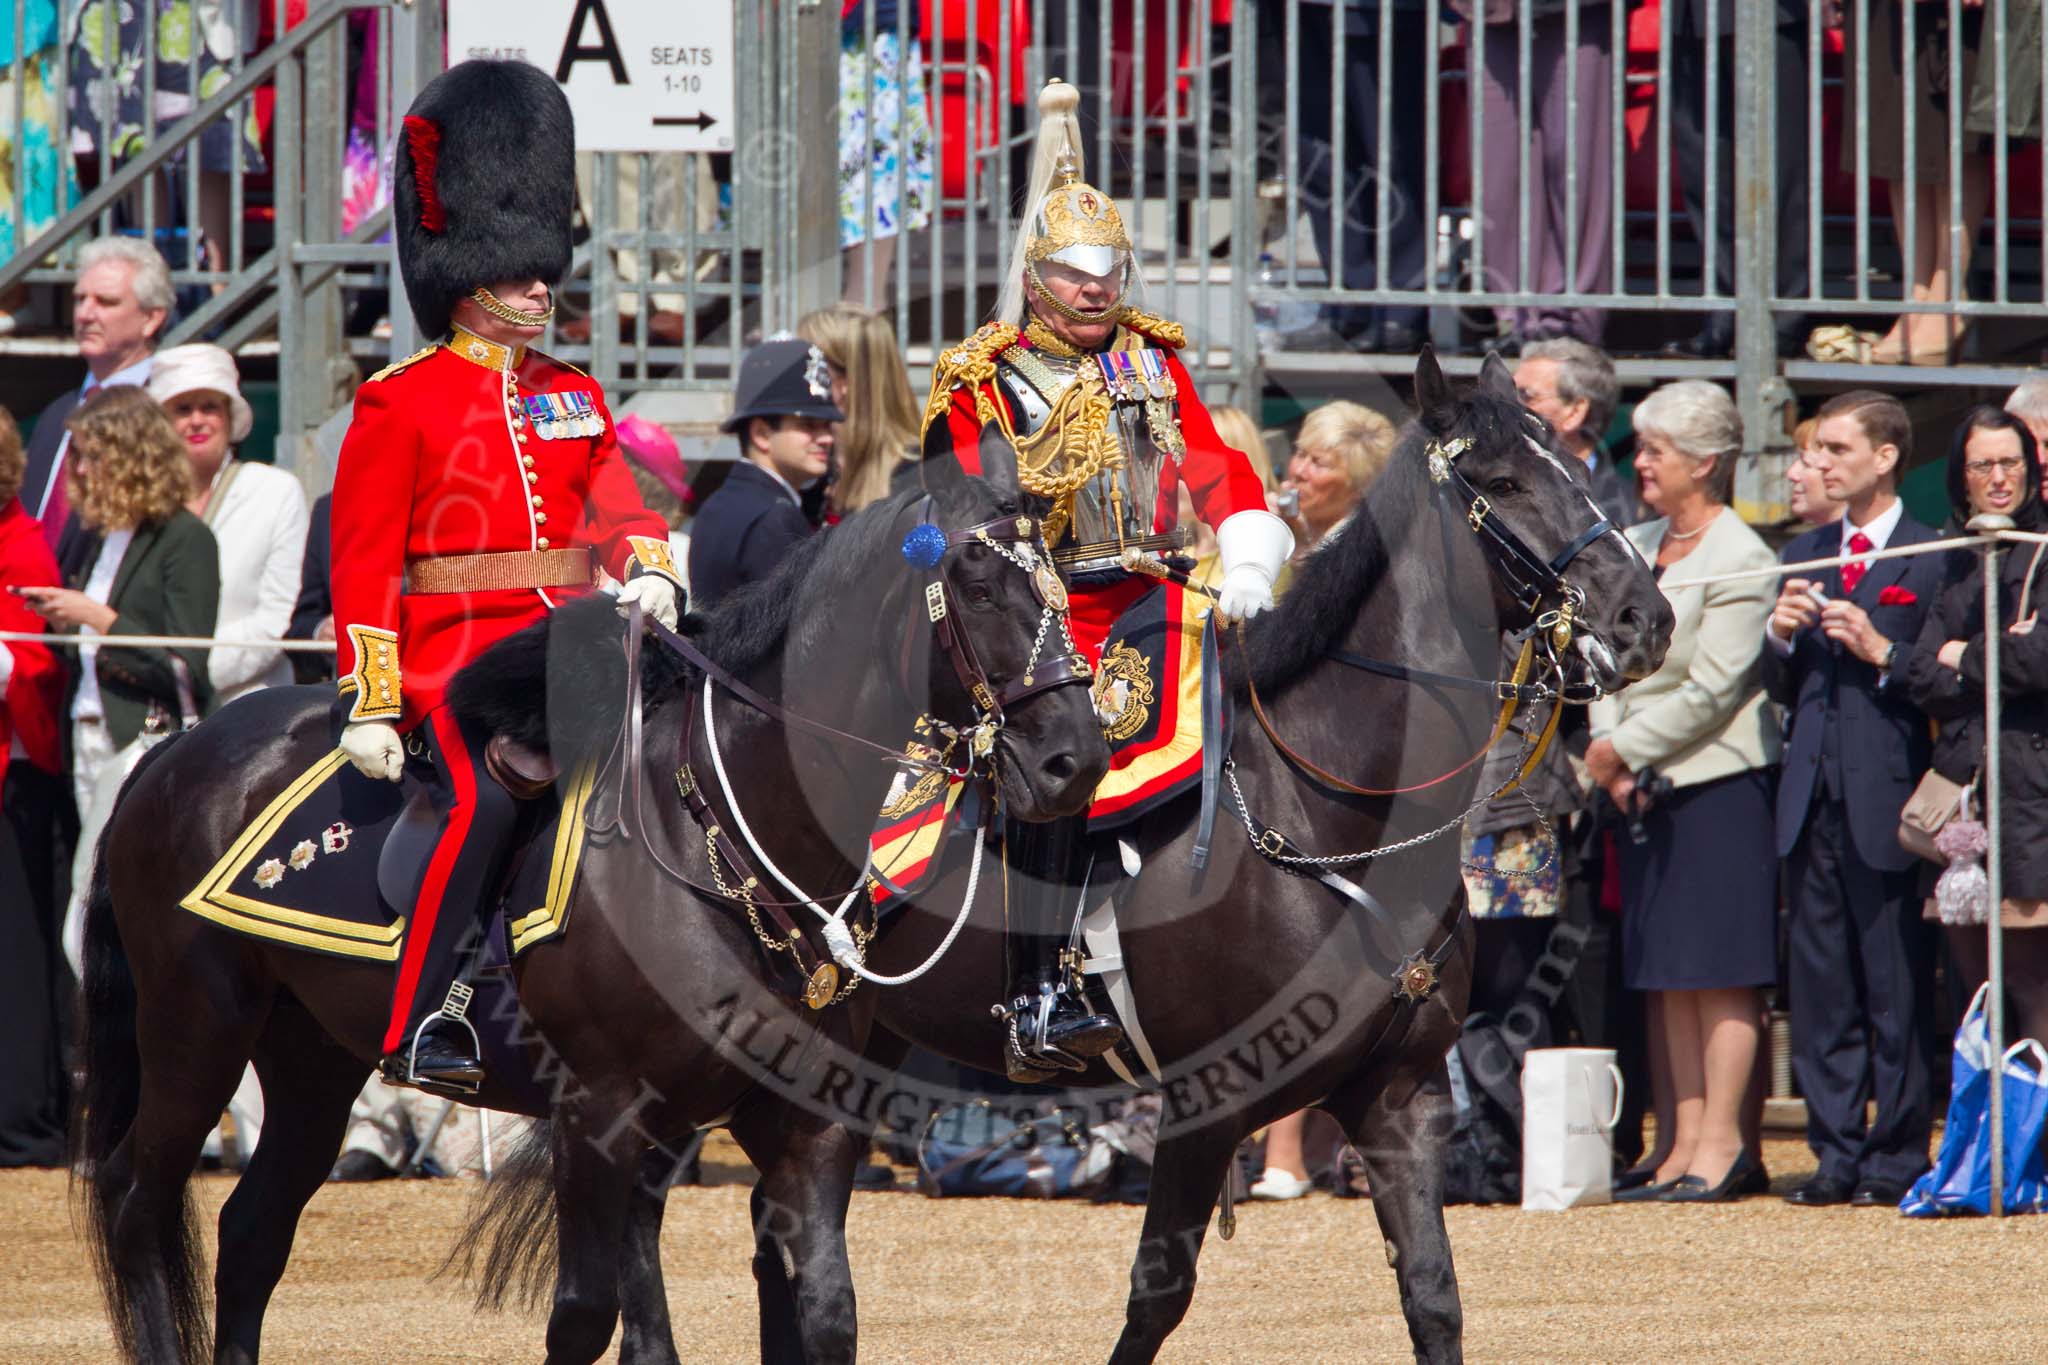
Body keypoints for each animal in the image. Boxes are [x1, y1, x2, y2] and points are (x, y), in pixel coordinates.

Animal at [75, 454, 1105, 1358]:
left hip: (313, 1056)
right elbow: (585, 1315)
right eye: (979, 590)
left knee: (253, 1233)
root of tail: (177, 750)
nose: (1078, 760)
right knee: (135, 1198)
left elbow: (820, 1311)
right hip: (197, 1028)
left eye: (1062, 589)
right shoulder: (598, 1115)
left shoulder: (801, 1127)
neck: (711, 833)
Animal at [468, 347, 1679, 1358]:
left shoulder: (1402, 1096)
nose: (1645, 617)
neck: (1331, 802)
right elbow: (1157, 1295)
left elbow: (1431, 1296)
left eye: (1578, 464)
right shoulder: (1207, 1105)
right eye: (1504, 483)